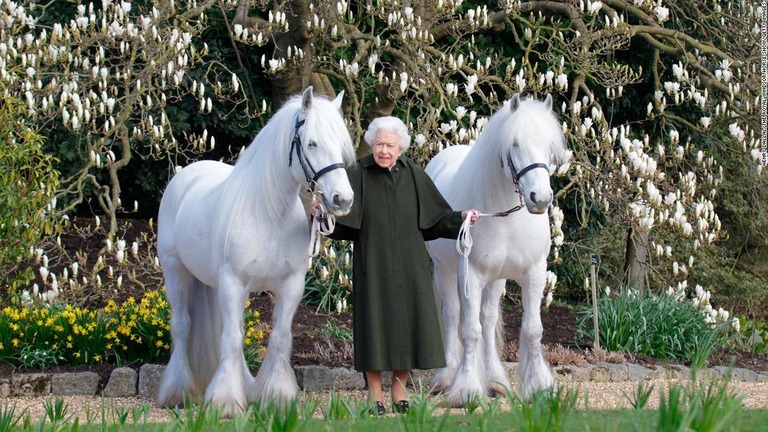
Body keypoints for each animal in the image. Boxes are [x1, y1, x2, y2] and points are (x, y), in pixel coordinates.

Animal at [157, 88, 360, 416]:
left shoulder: (290, 285)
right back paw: (177, 392)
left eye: (341, 145)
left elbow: (277, 337)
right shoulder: (233, 282)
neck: (268, 215)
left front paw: (276, 396)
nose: (343, 199)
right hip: (177, 273)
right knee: (182, 326)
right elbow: (231, 338)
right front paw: (225, 402)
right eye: (312, 142)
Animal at [426, 93, 568, 406]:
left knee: (488, 321)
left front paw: (539, 386)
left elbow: (531, 329)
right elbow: (469, 330)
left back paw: (495, 381)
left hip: (496, 280)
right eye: (514, 144)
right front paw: (466, 390)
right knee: (453, 316)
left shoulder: (534, 273)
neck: (507, 216)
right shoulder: (471, 275)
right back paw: (447, 377)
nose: (540, 198)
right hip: (446, 272)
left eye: (549, 146)